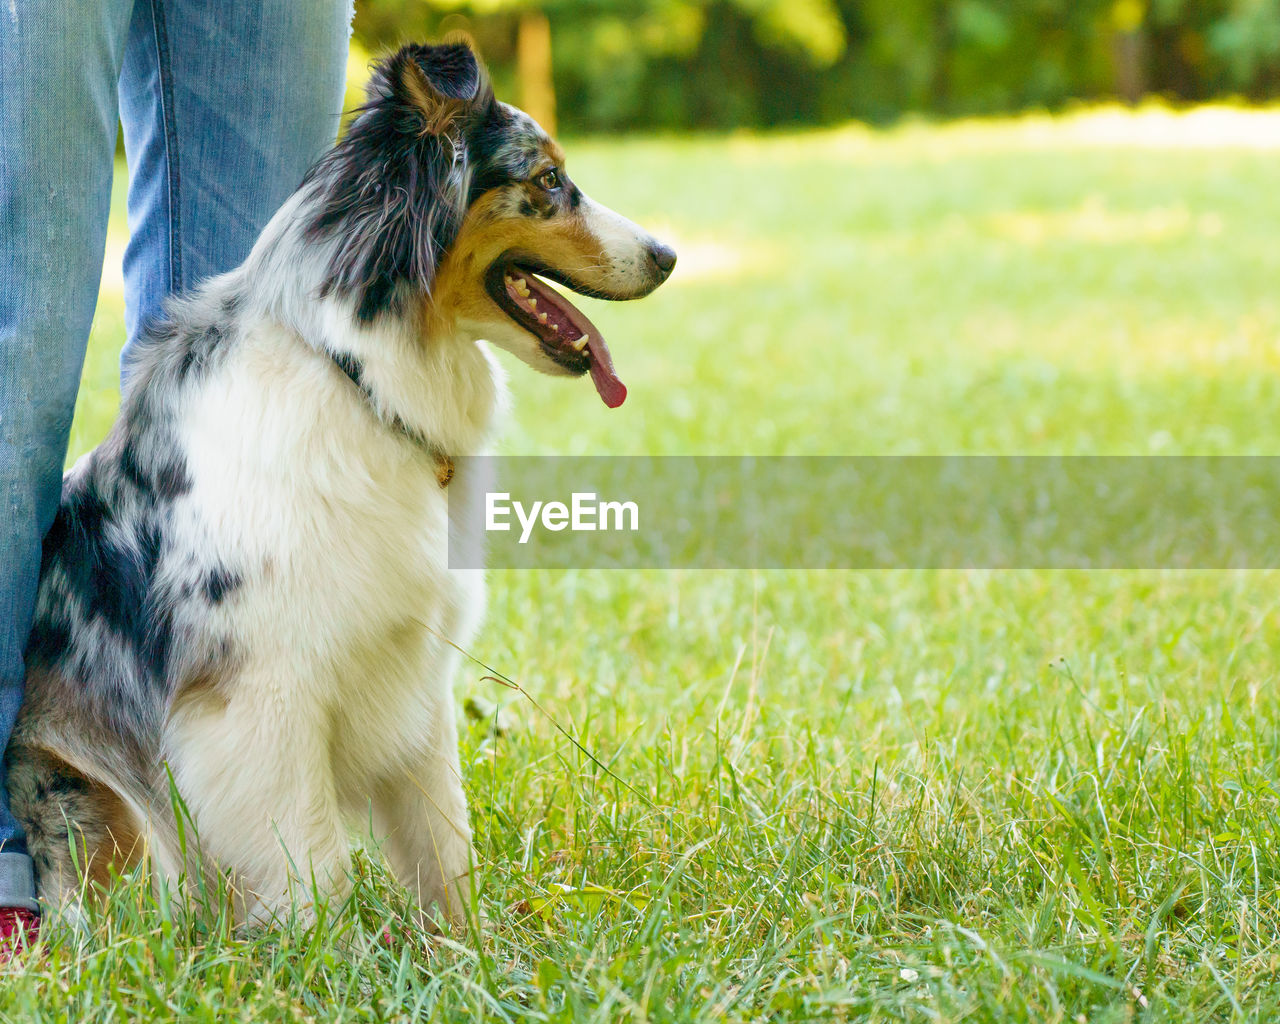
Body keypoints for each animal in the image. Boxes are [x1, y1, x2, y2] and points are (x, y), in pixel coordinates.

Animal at [5, 38, 675, 926]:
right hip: (94, 802)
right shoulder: (260, 693)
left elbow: (442, 841)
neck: (355, 371)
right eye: (547, 181)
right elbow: (310, 864)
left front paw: (465, 950)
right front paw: (324, 953)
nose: (670, 255)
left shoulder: (413, 667)